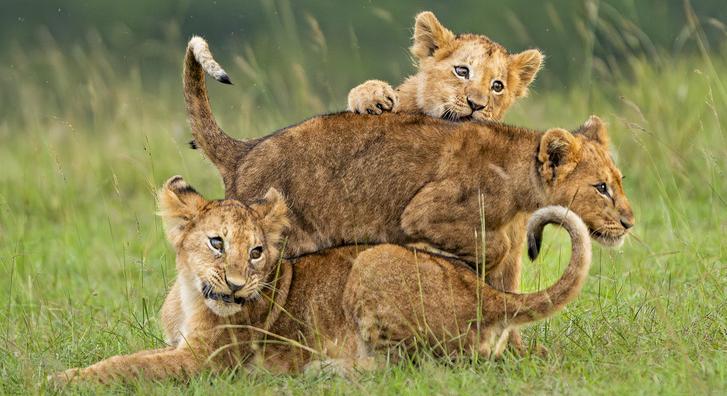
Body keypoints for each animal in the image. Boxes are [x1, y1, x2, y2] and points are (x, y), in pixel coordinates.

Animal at [55, 176, 592, 384]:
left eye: (257, 252)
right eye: (216, 243)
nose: (236, 286)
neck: (190, 294)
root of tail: (485, 292)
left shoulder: (205, 364)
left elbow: (127, 366)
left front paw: (64, 378)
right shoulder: (182, 347)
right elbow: (133, 357)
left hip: (374, 262)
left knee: (418, 367)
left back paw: (323, 371)